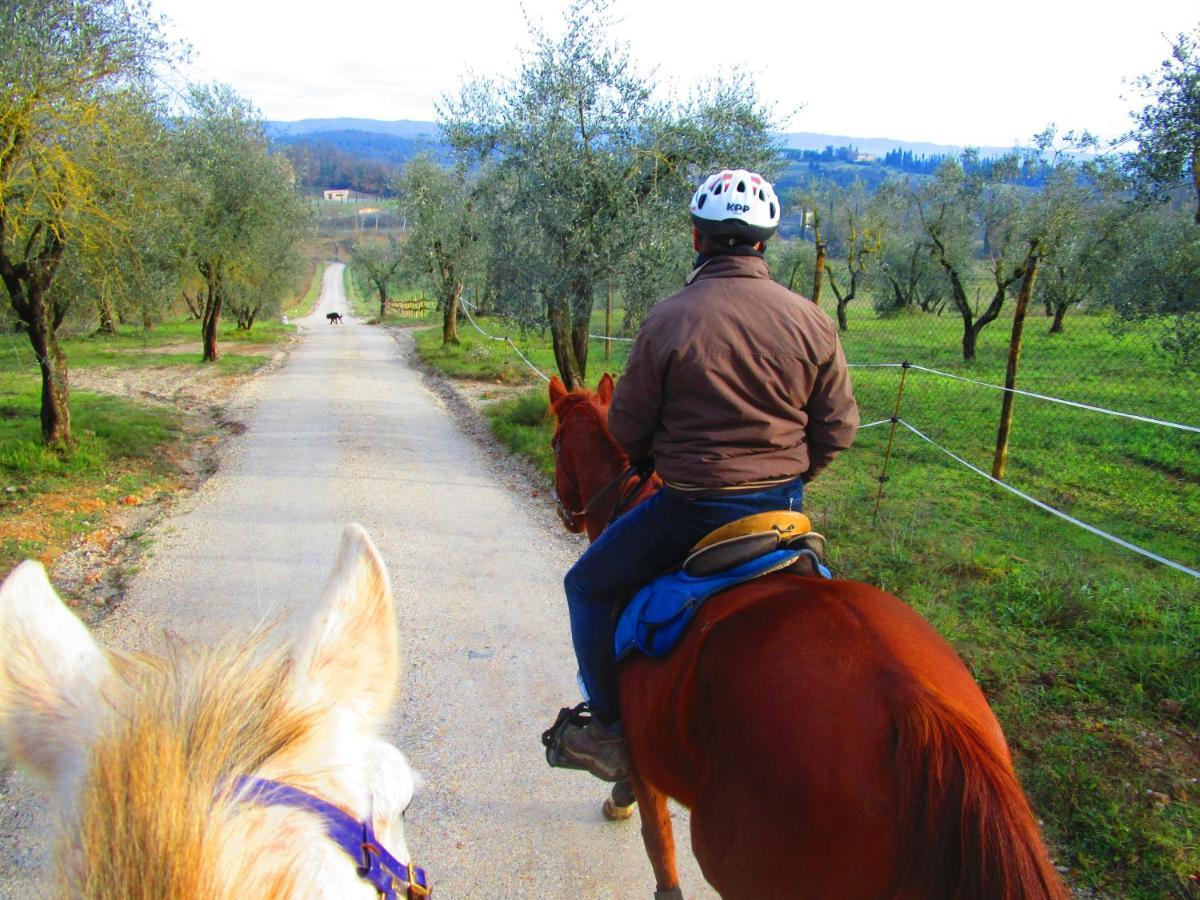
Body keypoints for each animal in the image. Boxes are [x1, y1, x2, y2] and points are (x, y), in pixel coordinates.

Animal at [549, 374, 1065, 900]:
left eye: (555, 443)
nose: (569, 513)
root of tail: (915, 706)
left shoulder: (645, 756)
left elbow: (659, 847)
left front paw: (619, 797)